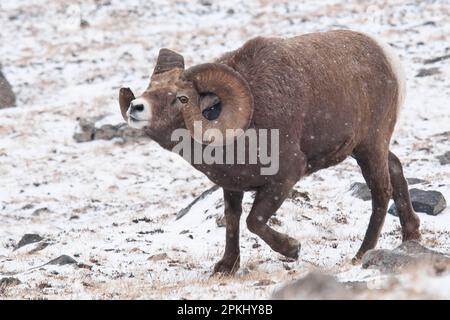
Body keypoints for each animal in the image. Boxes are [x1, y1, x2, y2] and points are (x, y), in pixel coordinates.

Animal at [119, 30, 422, 274]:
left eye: (181, 98)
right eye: (149, 88)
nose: (136, 107)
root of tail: (388, 57)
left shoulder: (284, 178)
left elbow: (254, 221)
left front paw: (292, 249)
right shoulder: (232, 186)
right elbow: (233, 220)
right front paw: (226, 267)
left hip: (370, 147)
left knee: (381, 191)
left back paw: (361, 255)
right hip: (368, 149)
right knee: (396, 169)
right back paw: (411, 237)